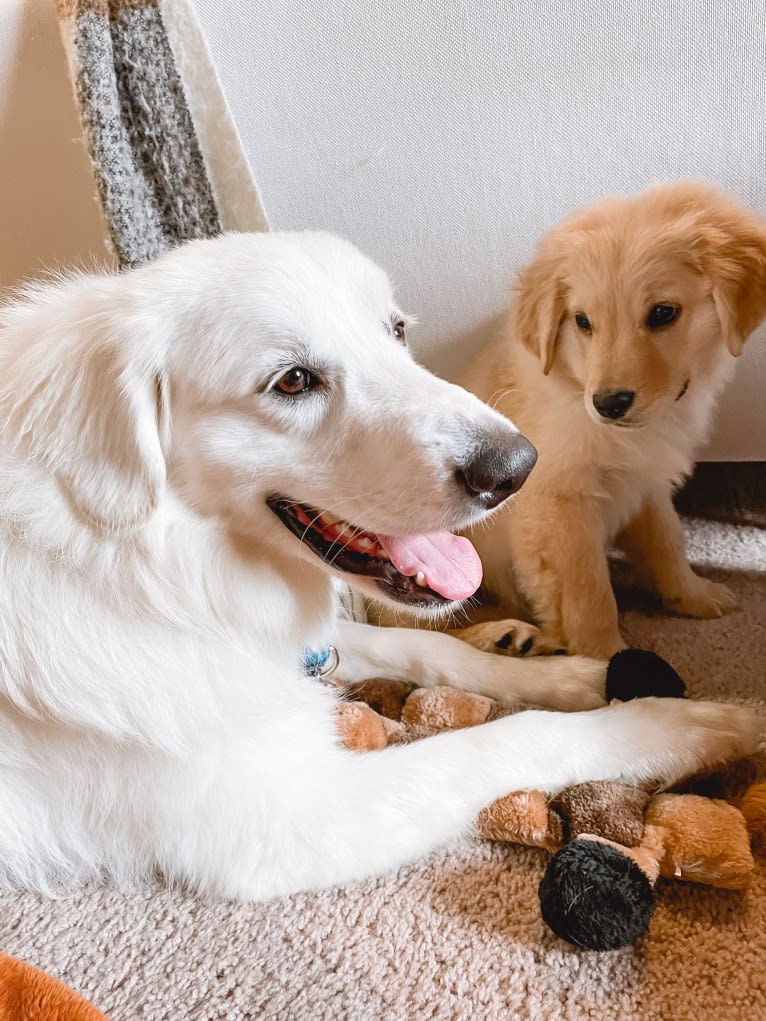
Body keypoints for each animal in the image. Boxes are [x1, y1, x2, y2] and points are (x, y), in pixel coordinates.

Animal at [0, 231, 759, 894]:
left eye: (394, 331)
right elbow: (509, 738)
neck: (141, 567)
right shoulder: (286, 818)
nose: (518, 467)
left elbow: (424, 649)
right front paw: (676, 724)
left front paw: (577, 674)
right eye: (292, 381)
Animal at [461, 181, 766, 661]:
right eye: (583, 322)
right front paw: (605, 656)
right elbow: (588, 592)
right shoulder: (557, 507)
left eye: (663, 313)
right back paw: (502, 638)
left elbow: (668, 541)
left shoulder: (646, 481)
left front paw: (693, 594)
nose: (608, 403)